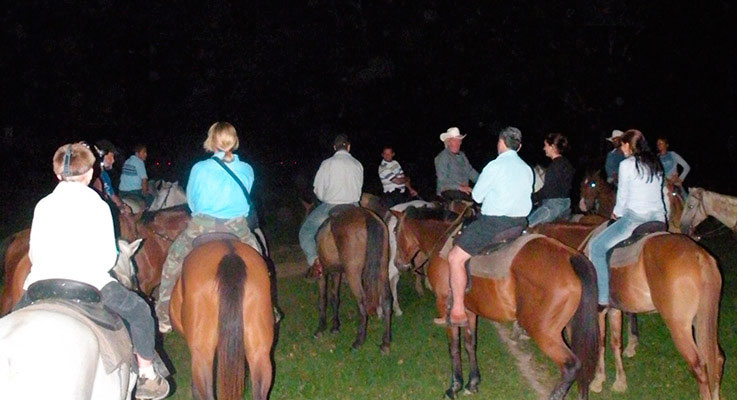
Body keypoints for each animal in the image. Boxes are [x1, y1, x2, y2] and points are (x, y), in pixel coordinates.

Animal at [312, 206, 392, 354]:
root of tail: (366, 215)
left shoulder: (323, 272)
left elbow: (323, 299)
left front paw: (321, 328)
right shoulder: (336, 272)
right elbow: (334, 297)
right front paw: (335, 327)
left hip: (353, 274)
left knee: (362, 302)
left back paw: (359, 341)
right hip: (383, 269)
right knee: (387, 300)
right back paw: (385, 343)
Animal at [392, 208, 600, 398]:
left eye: (394, 231)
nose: (398, 264)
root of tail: (571, 256)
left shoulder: (445, 306)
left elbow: (454, 348)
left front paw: (454, 387)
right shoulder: (469, 310)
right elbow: (470, 344)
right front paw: (472, 383)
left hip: (543, 332)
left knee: (571, 366)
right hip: (571, 329)